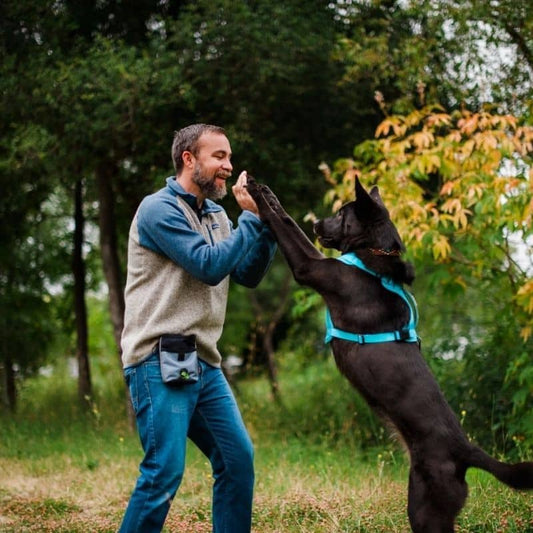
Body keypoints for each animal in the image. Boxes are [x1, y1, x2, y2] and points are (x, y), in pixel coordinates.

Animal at [246, 178, 532, 532]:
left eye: (340, 214)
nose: (316, 224)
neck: (371, 254)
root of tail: (466, 451)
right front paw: (266, 192)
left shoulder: (310, 267)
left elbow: (285, 223)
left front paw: (257, 192)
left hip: (425, 508)